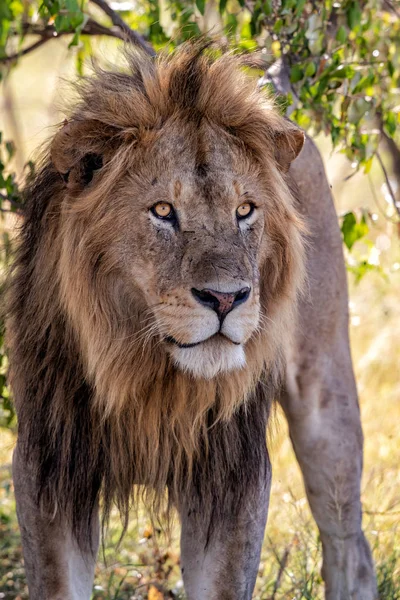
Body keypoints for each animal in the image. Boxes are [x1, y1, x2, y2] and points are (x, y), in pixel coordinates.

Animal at [7, 43, 378, 600]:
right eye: (163, 211)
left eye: (245, 210)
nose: (226, 299)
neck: (142, 369)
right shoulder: (50, 466)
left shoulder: (231, 478)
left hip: (326, 400)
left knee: (348, 545)